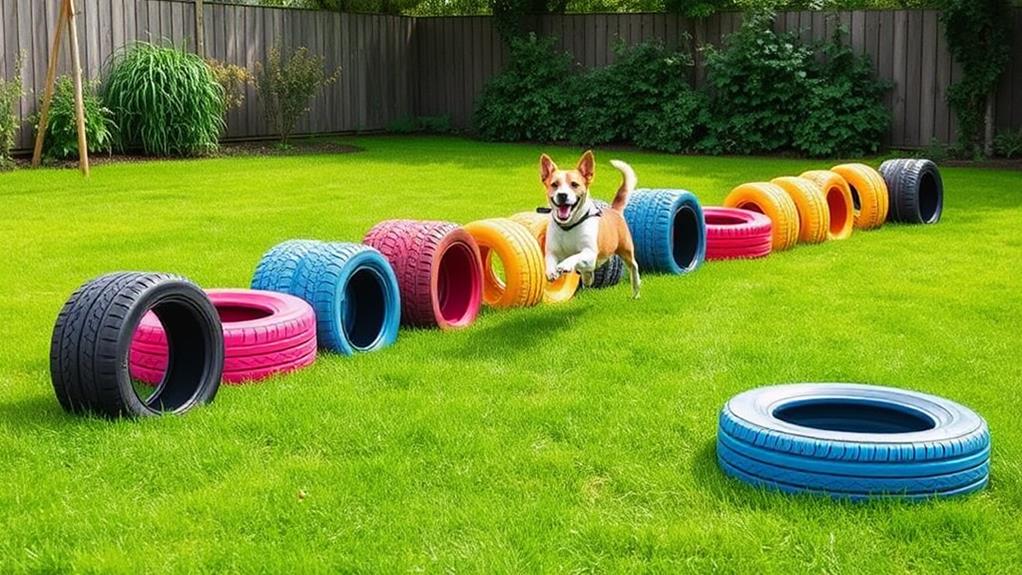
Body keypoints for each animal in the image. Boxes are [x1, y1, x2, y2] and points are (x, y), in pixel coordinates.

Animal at [543, 151, 637, 300]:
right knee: (588, 273)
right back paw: (587, 279)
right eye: (554, 184)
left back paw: (636, 291)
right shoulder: (552, 251)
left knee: (634, 268)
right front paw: (551, 272)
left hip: (626, 250)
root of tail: (614, 210)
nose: (562, 195)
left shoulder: (590, 253)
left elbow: (575, 256)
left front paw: (565, 264)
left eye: (574, 184)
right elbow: (550, 260)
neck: (568, 227)